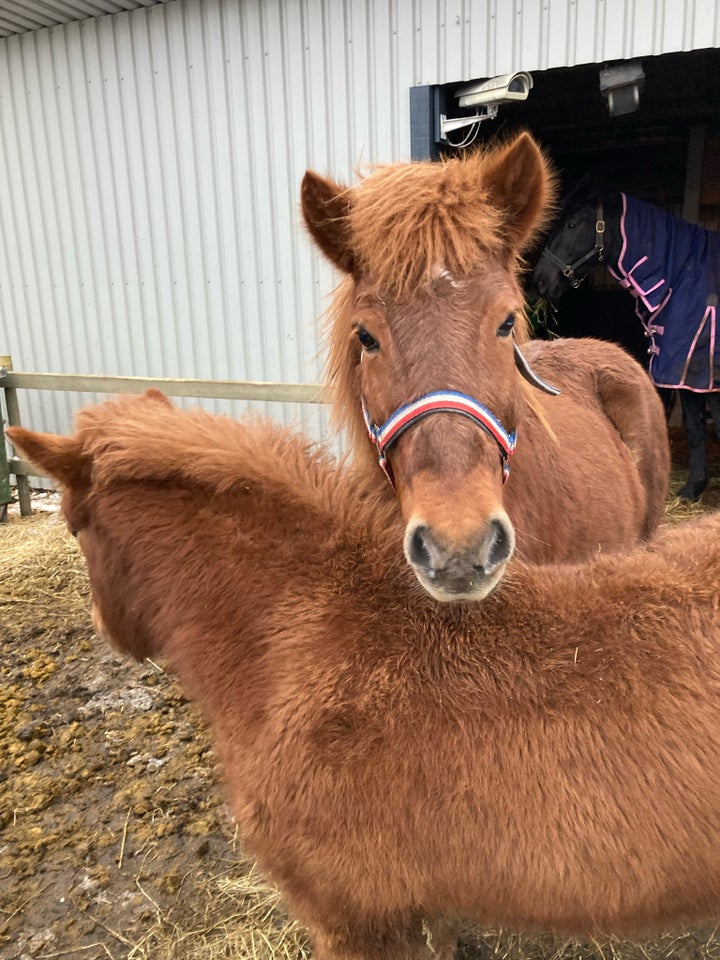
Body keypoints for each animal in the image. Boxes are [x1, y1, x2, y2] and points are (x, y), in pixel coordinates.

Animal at [532, 177, 720, 502]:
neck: (681, 276)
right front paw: (693, 487)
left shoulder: (698, 368)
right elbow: (697, 427)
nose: (541, 280)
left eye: (572, 224)